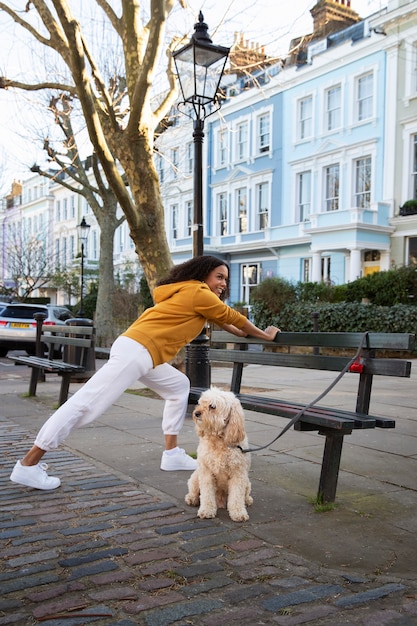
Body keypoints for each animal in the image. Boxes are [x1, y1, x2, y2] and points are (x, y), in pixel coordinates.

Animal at [184, 388, 250, 520]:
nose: (196, 413)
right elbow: (206, 495)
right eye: (200, 403)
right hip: (195, 477)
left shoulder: (238, 474)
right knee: (194, 490)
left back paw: (248, 500)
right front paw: (206, 510)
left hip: (247, 482)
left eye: (212, 406)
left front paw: (238, 512)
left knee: (245, 494)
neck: (219, 440)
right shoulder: (206, 472)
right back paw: (192, 498)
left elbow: (236, 496)